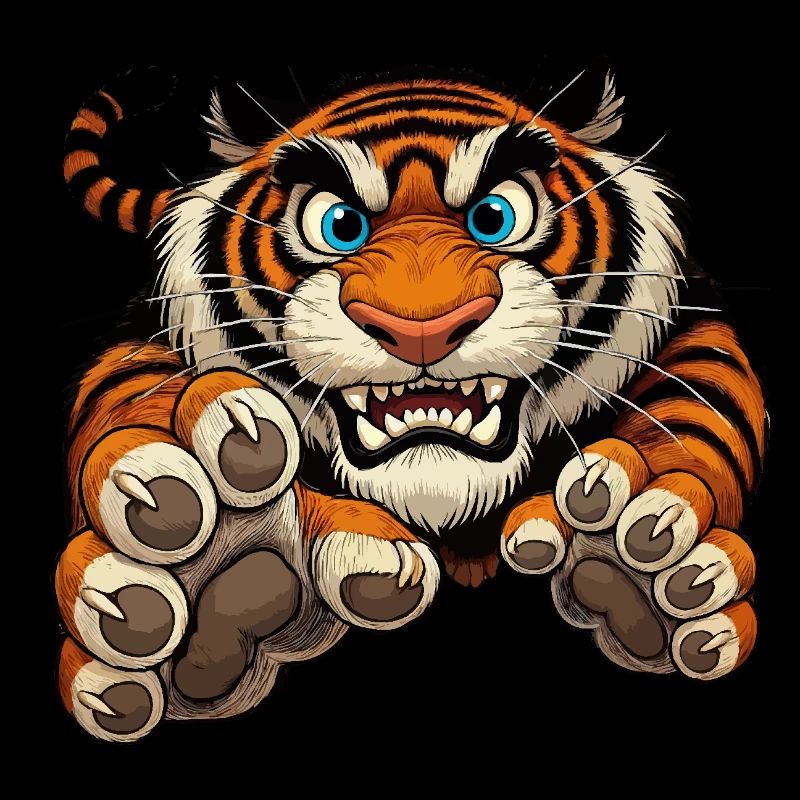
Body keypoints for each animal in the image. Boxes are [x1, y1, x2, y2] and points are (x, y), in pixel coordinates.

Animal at [59, 67, 765, 741]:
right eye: (337, 225)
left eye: (497, 216)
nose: (421, 328)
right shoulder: (140, 339)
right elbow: (128, 403)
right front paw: (211, 549)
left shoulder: (696, 327)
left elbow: (694, 418)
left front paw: (640, 545)